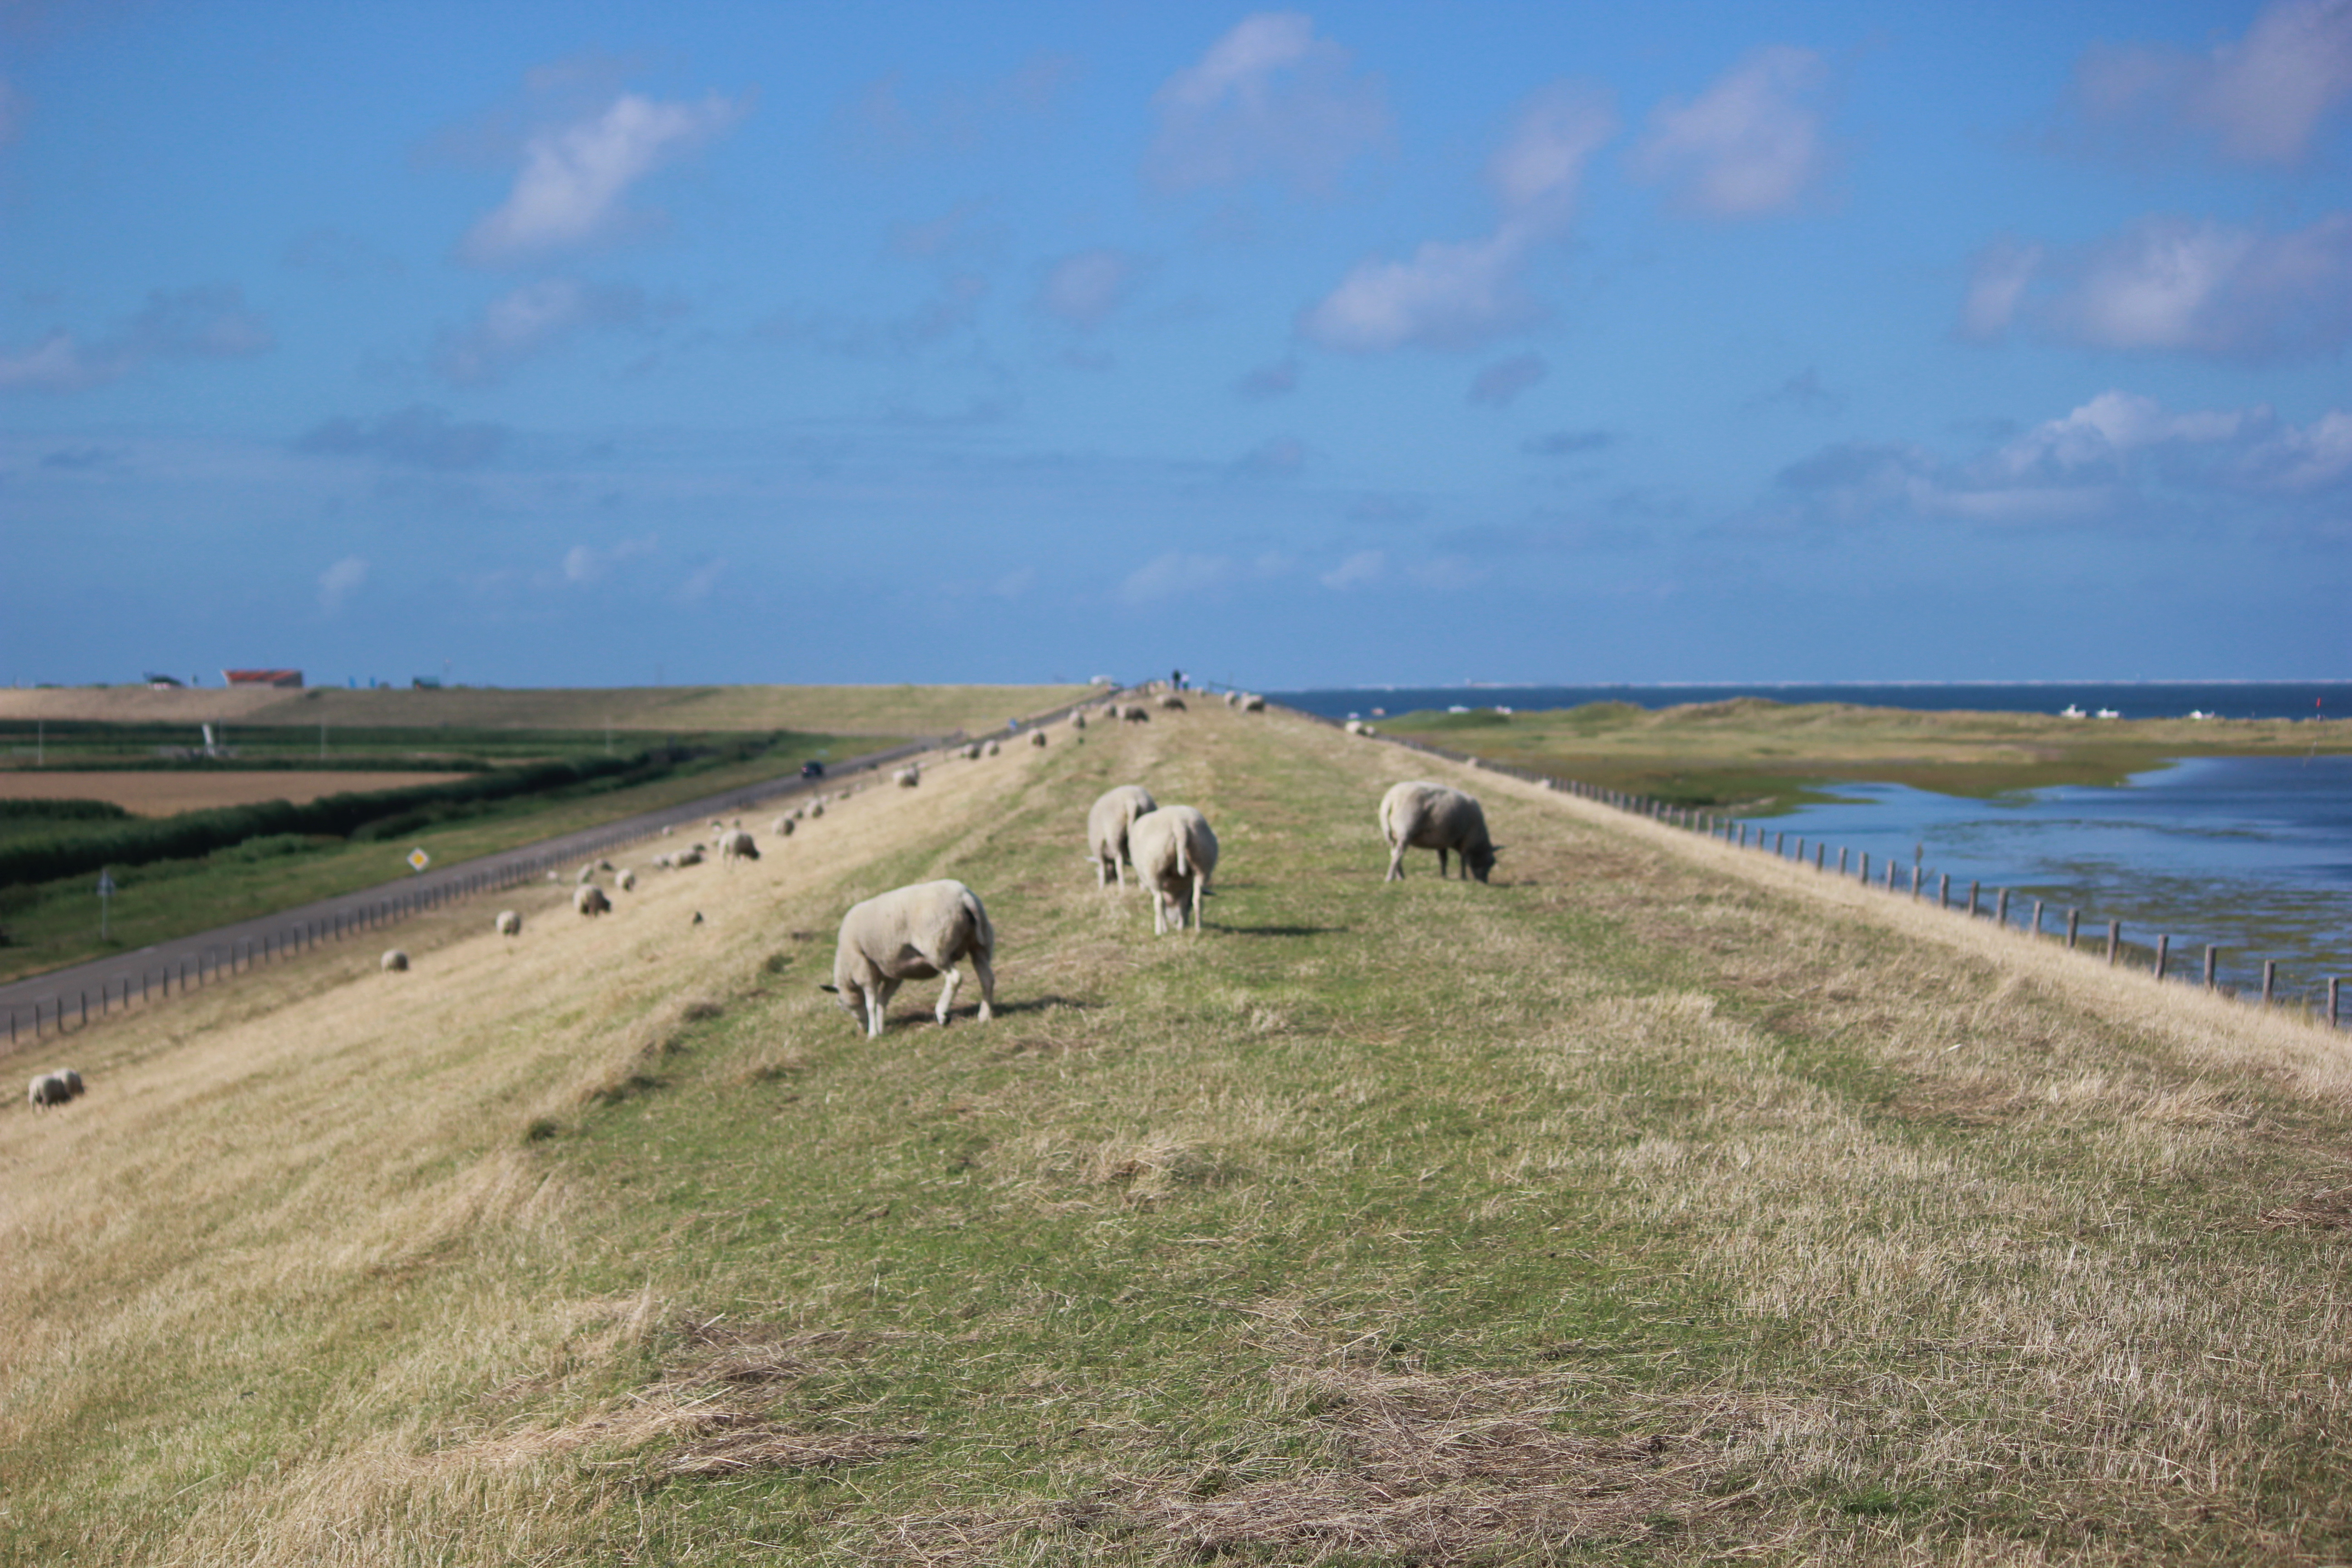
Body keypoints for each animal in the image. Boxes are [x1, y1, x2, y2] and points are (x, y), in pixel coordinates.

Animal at [821, 880, 996, 1038]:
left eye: (841, 1006)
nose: (862, 1029)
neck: (845, 967)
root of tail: (965, 897)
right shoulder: (893, 974)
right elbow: (882, 1001)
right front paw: (881, 1029)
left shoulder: (863, 969)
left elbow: (871, 1004)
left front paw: (873, 1034)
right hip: (979, 943)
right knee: (987, 978)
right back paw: (984, 1015)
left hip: (936, 945)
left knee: (955, 978)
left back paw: (942, 1012)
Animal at [1086, 785, 1159, 890]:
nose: (1111, 881)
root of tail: (1131, 801)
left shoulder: (1098, 849)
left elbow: (1102, 869)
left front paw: (1101, 887)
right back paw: (1142, 886)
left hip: (1114, 834)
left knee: (1120, 864)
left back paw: (1122, 887)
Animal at [1128, 806, 1218, 935]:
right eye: (1189, 906)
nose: (1184, 923)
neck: (1174, 888)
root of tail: (1180, 825)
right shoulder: (1185, 887)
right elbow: (1182, 904)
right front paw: (1180, 927)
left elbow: (1164, 905)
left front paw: (1166, 928)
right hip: (1202, 864)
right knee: (1198, 899)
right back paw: (1198, 930)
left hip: (1155, 868)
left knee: (1159, 902)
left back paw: (1159, 931)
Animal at [1379, 781, 1500, 883]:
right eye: (1491, 862)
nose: (1484, 881)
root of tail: (1391, 800)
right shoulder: (1468, 840)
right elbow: (1463, 861)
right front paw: (1464, 877)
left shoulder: (1442, 841)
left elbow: (1444, 859)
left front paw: (1444, 875)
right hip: (1405, 829)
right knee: (1398, 854)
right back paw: (1390, 878)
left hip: (1391, 834)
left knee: (1394, 853)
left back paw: (1400, 876)